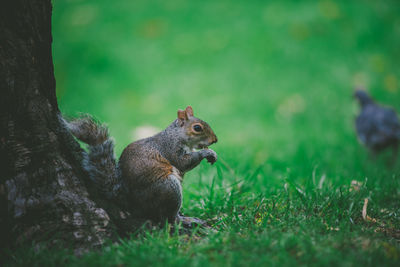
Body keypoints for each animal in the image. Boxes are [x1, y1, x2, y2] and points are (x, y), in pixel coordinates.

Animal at [65, 106, 219, 224]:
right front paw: (206, 152)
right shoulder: (170, 149)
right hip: (168, 187)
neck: (175, 135)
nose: (215, 140)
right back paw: (184, 219)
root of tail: (131, 203)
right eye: (197, 128)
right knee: (168, 217)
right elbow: (183, 163)